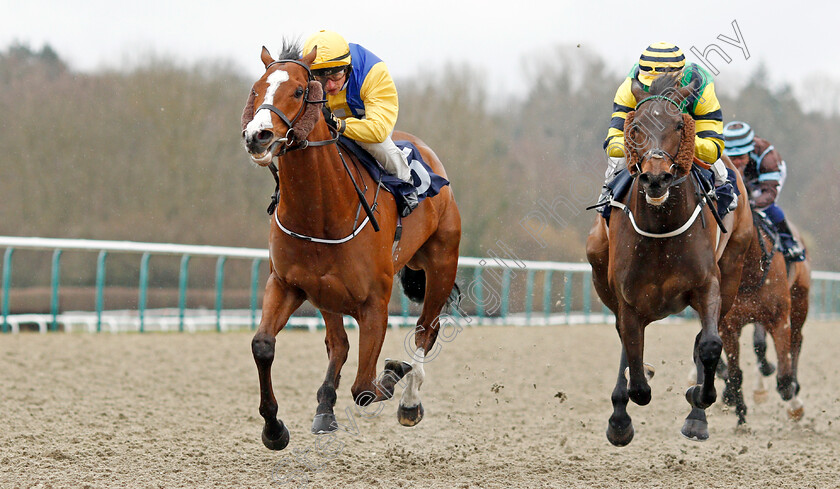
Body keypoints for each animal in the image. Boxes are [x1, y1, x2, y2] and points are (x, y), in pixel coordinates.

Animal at [240, 43, 460, 450]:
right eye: (256, 89)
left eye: (299, 91)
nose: (257, 135)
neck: (321, 212)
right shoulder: (288, 283)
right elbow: (263, 344)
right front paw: (274, 428)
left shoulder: (375, 303)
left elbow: (366, 388)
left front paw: (394, 372)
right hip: (327, 292)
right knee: (339, 344)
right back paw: (325, 408)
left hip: (441, 264)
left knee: (427, 329)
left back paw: (409, 400)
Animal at [584, 74, 756, 444]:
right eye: (635, 127)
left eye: (679, 125)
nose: (655, 177)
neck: (661, 228)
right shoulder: (627, 298)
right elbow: (634, 366)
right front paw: (623, 412)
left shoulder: (708, 285)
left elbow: (710, 344)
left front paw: (698, 399)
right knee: (627, 345)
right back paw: (620, 415)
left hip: (733, 269)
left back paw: (696, 416)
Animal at [720, 214, 812, 424]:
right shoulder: (728, 326)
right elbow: (735, 373)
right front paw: (741, 415)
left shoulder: (779, 319)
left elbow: (784, 380)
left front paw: (794, 402)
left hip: (800, 301)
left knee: (796, 341)